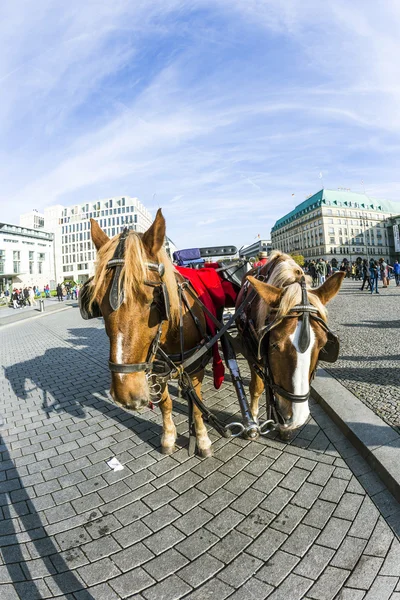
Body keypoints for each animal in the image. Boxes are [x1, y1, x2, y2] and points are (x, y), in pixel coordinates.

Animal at [86, 210, 214, 454]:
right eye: (98, 304)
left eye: (153, 301)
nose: (126, 393)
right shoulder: (155, 369)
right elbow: (165, 403)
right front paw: (169, 436)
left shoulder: (196, 367)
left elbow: (198, 404)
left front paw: (202, 438)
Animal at [236, 251, 346, 438]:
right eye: (273, 344)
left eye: (323, 345)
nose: (296, 418)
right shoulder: (251, 353)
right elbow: (257, 387)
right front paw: (253, 421)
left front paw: (282, 428)